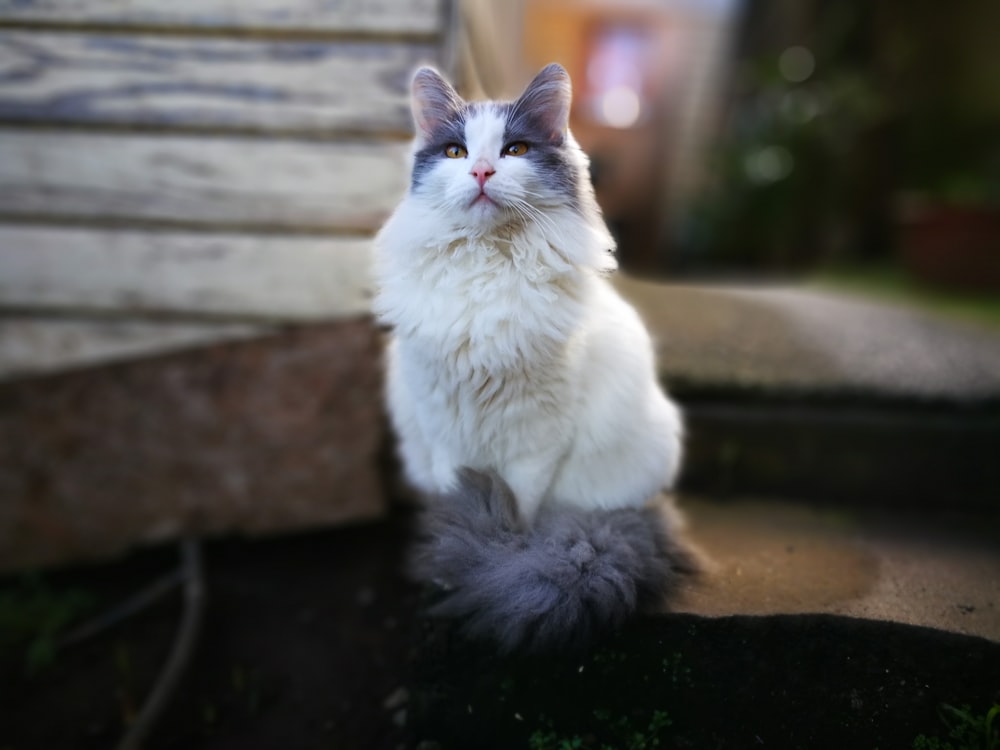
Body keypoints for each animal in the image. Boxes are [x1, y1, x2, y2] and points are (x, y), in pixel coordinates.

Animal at [374, 63, 696, 652]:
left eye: (515, 149)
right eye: (455, 152)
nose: (480, 170)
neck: (486, 269)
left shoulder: (534, 439)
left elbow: (517, 512)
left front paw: (502, 559)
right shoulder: (444, 433)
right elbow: (455, 496)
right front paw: (457, 567)